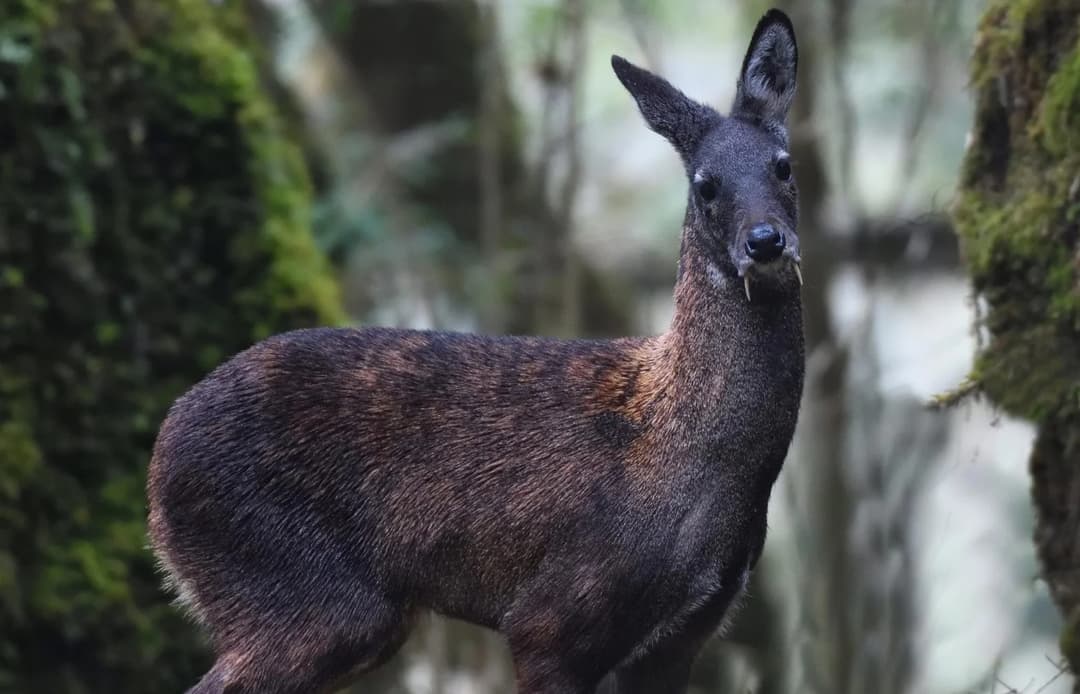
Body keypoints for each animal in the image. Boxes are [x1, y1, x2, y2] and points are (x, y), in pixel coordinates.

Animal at [147, 9, 804, 694]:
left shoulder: (684, 636)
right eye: (705, 185)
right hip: (298, 592)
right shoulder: (553, 616)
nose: (764, 241)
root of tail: (157, 471)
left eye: (783, 165)